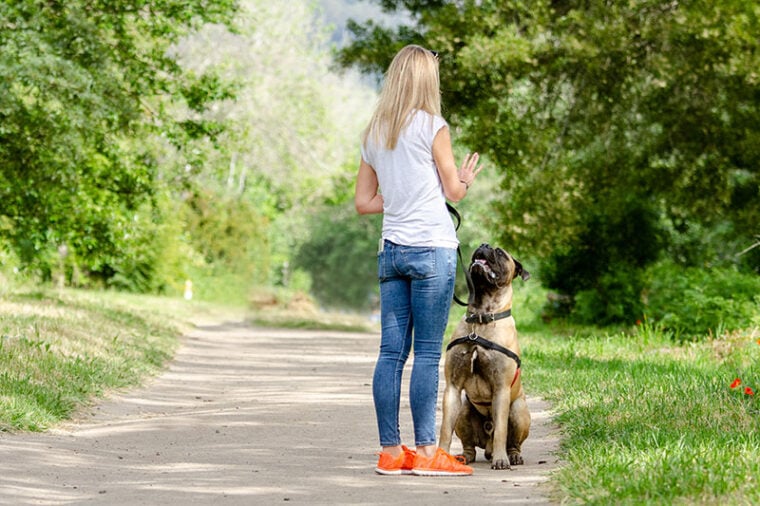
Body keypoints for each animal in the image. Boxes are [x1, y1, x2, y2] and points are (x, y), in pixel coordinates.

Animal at [436, 243, 532, 468]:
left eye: (500, 252)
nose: (484, 245)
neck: (480, 318)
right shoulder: (453, 387)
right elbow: (445, 429)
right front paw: (441, 456)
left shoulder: (501, 389)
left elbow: (501, 431)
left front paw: (500, 459)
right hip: (464, 409)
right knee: (469, 445)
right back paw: (464, 457)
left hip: (518, 410)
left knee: (512, 441)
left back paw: (512, 456)